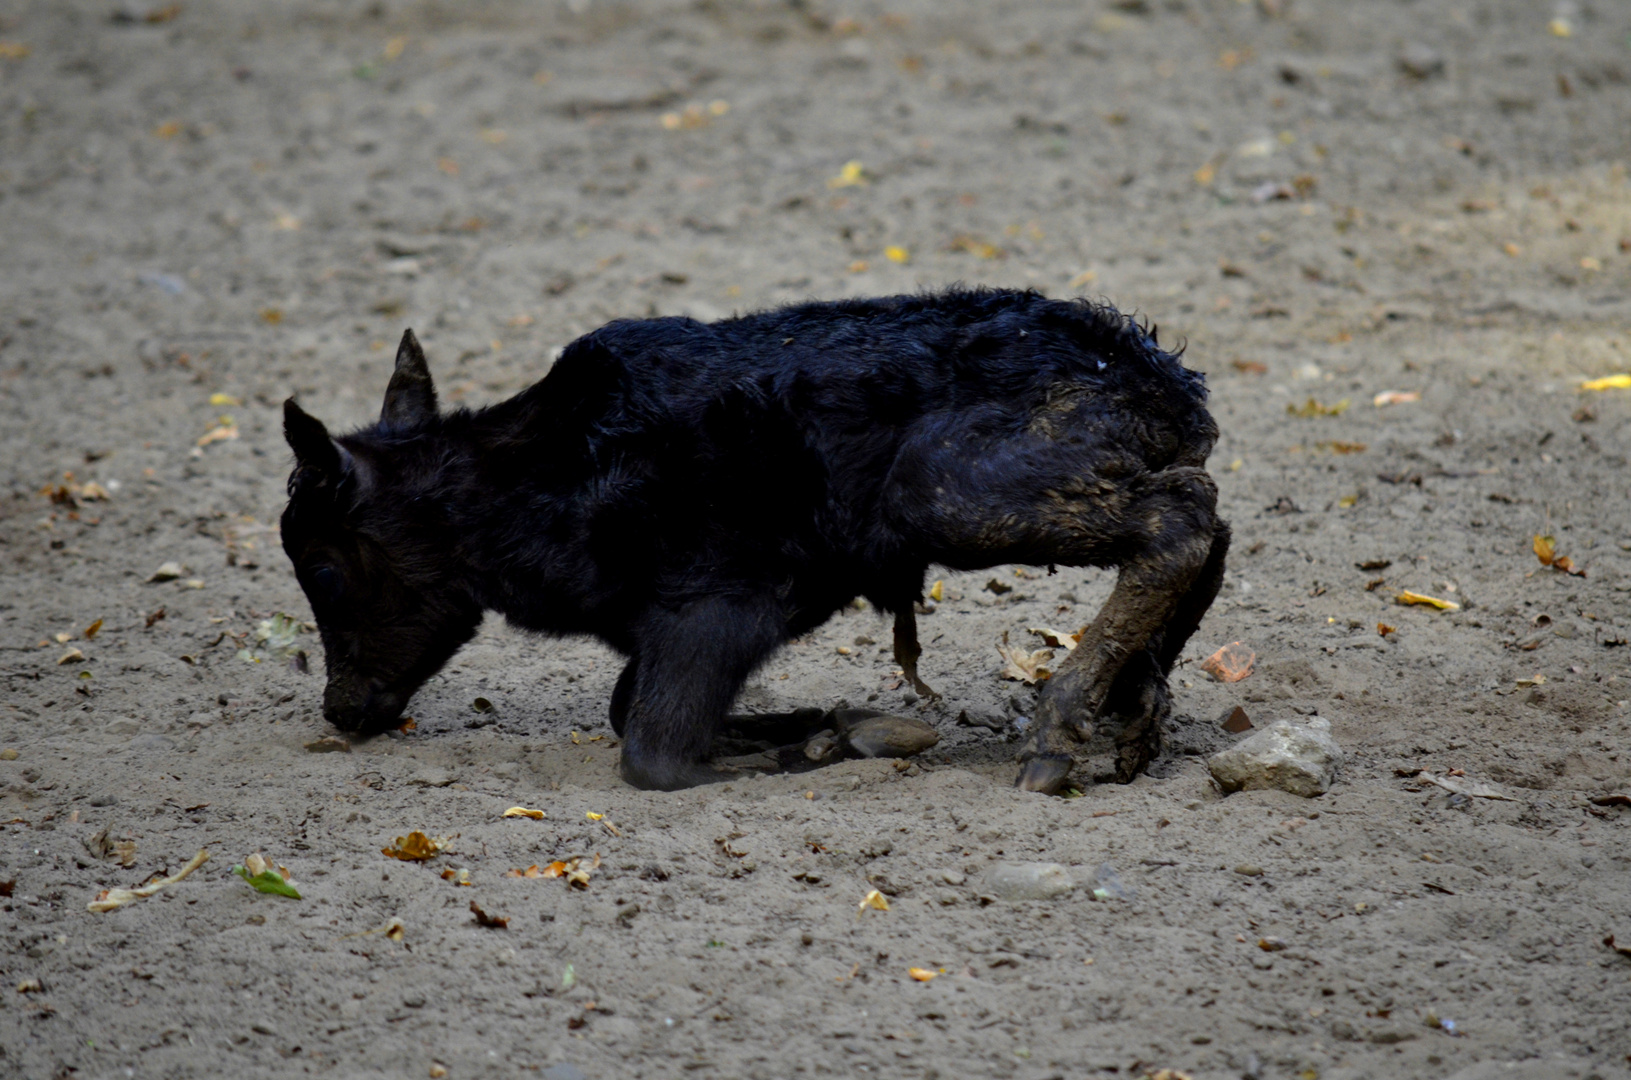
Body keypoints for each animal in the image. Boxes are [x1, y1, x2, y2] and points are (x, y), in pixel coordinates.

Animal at [283, 290, 1226, 796]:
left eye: (322, 568)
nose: (343, 707)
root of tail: (1168, 384)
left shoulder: (716, 606)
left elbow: (655, 753)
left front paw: (832, 742)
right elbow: (632, 710)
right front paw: (834, 720)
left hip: (949, 492)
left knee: (1179, 523)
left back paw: (1057, 731)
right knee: (1204, 519)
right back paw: (1137, 710)